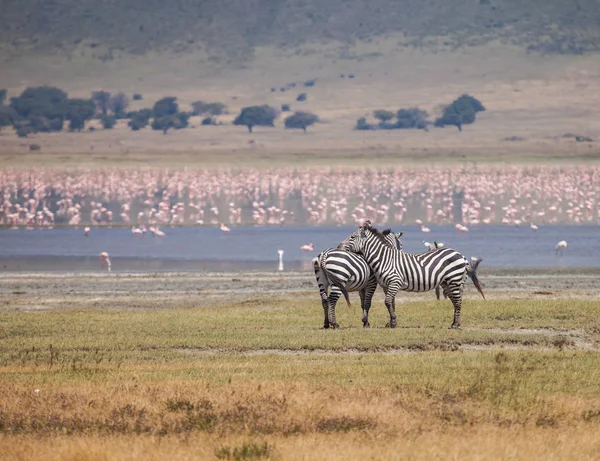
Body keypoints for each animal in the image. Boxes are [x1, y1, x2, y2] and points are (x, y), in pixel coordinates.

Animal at [340, 221, 486, 328]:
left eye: (352, 237)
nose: (339, 247)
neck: (384, 258)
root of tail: (460, 255)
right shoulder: (387, 285)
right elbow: (391, 303)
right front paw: (391, 322)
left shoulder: (395, 281)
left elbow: (387, 302)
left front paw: (393, 323)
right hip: (446, 283)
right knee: (455, 301)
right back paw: (454, 323)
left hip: (454, 280)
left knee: (458, 301)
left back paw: (456, 325)